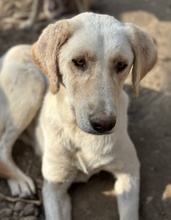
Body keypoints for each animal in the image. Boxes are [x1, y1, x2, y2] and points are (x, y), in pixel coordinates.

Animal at [0, 12, 157, 220]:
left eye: (121, 65)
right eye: (79, 62)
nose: (104, 124)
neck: (81, 135)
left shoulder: (130, 170)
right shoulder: (54, 187)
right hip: (32, 87)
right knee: (3, 147)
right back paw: (20, 180)